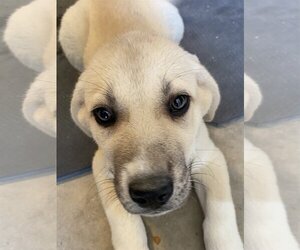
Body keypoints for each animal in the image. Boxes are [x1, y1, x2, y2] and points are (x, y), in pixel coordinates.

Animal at [59, 0, 244, 249]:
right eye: (103, 114)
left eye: (179, 102)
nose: (151, 193)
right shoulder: (102, 167)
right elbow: (126, 228)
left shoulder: (211, 158)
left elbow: (220, 219)